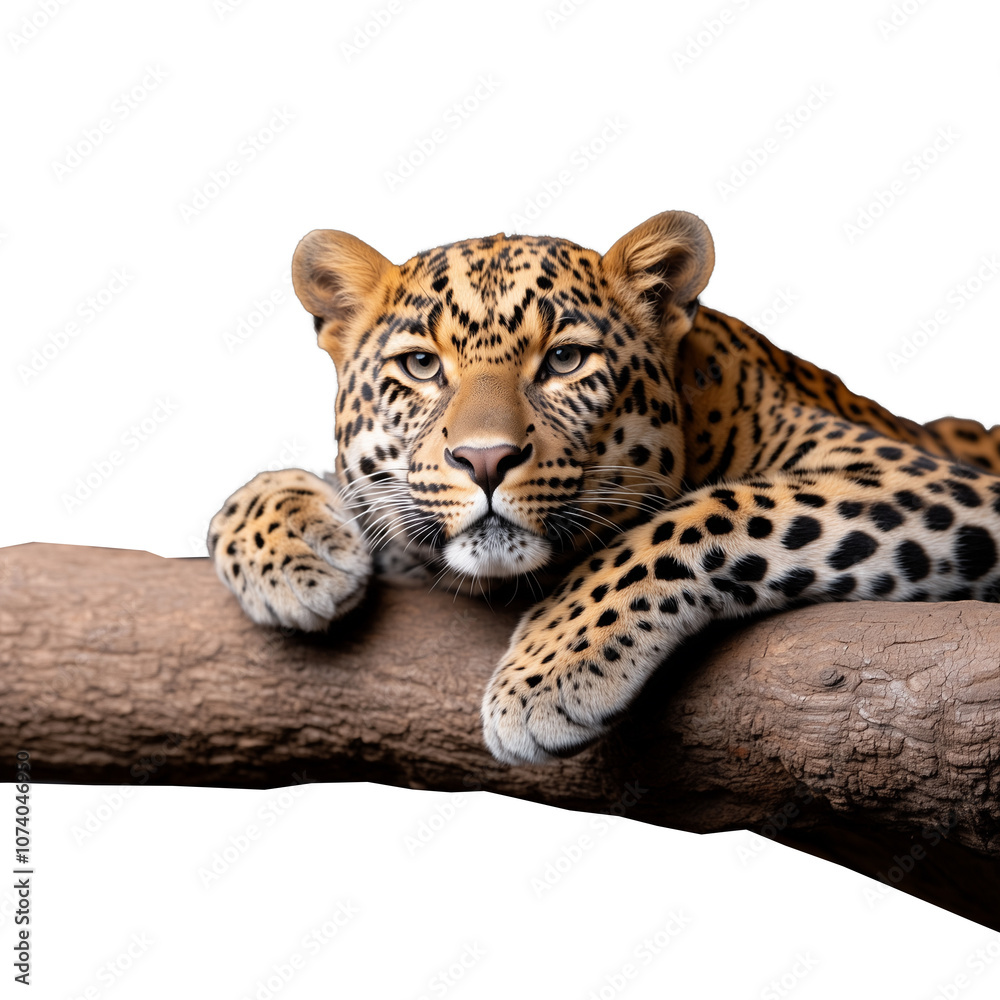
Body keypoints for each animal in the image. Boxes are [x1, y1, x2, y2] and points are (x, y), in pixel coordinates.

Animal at [208, 210, 1000, 766]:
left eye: (565, 360)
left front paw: (546, 672)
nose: (485, 460)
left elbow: (705, 512)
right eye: (422, 366)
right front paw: (292, 554)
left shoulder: (918, 478)